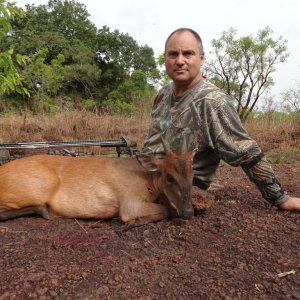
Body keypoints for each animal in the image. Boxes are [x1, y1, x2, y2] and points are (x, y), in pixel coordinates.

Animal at [0, 142, 197, 229]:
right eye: (169, 177)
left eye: (193, 174)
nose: (188, 212)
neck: (148, 180)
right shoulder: (129, 202)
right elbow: (164, 210)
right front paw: (132, 223)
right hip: (38, 186)